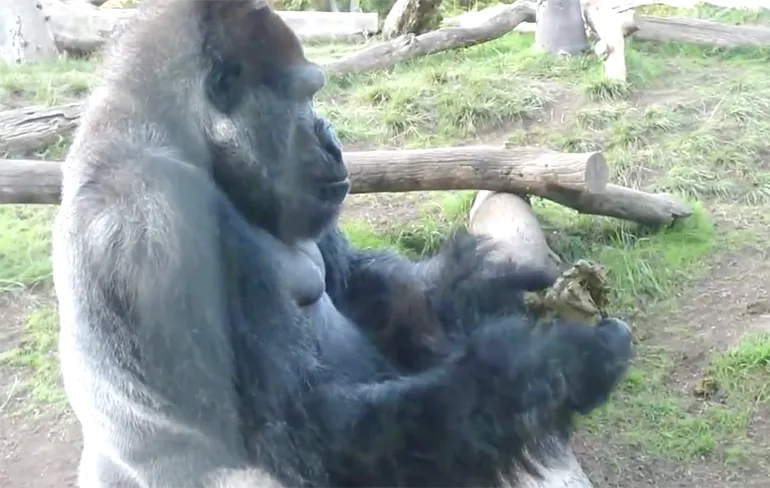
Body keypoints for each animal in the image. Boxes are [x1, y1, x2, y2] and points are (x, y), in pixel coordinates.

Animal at [52, 0, 634, 487]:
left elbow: (360, 285)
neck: (167, 133)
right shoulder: (159, 226)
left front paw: (504, 289)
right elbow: (308, 433)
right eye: (302, 96)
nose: (332, 140)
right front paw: (566, 361)